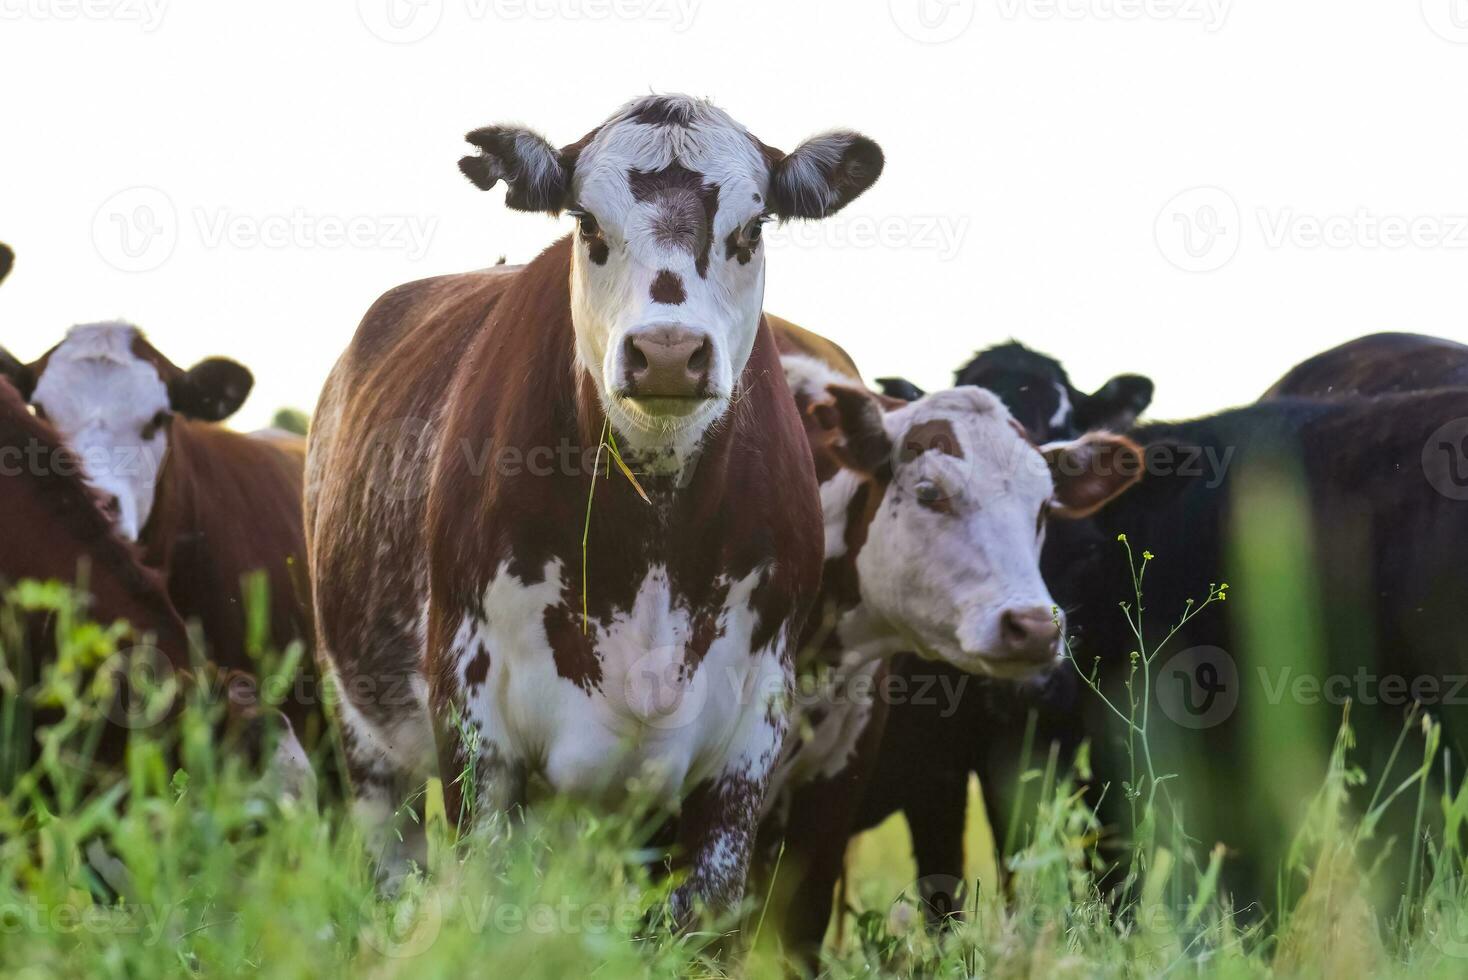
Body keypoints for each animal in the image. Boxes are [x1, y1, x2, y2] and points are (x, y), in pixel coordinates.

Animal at [302, 91, 880, 921]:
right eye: (588, 225)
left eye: (750, 229)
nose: (668, 352)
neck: (655, 529)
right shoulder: (474, 718)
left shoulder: (754, 729)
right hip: (370, 744)